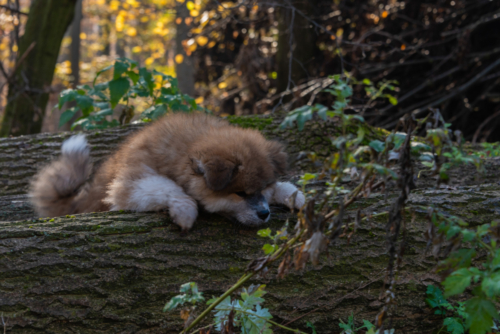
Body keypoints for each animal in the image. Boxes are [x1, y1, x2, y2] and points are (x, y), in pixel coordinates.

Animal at [31, 112, 306, 230]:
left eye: (263, 188)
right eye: (240, 193)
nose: (264, 214)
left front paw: (294, 196)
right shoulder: (130, 183)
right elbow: (167, 187)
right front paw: (185, 211)